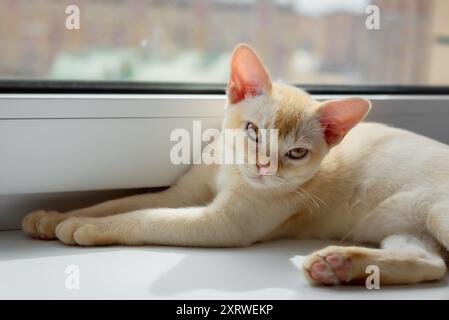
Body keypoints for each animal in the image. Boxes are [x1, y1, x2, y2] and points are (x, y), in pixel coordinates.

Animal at [23, 44, 448, 284]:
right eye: (253, 131)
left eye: (296, 153)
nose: (264, 168)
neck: (229, 172)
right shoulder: (183, 192)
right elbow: (119, 202)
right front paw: (52, 216)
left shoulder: (226, 223)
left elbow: (144, 217)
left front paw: (86, 227)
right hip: (406, 226)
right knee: (432, 263)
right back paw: (339, 265)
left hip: (438, 214)